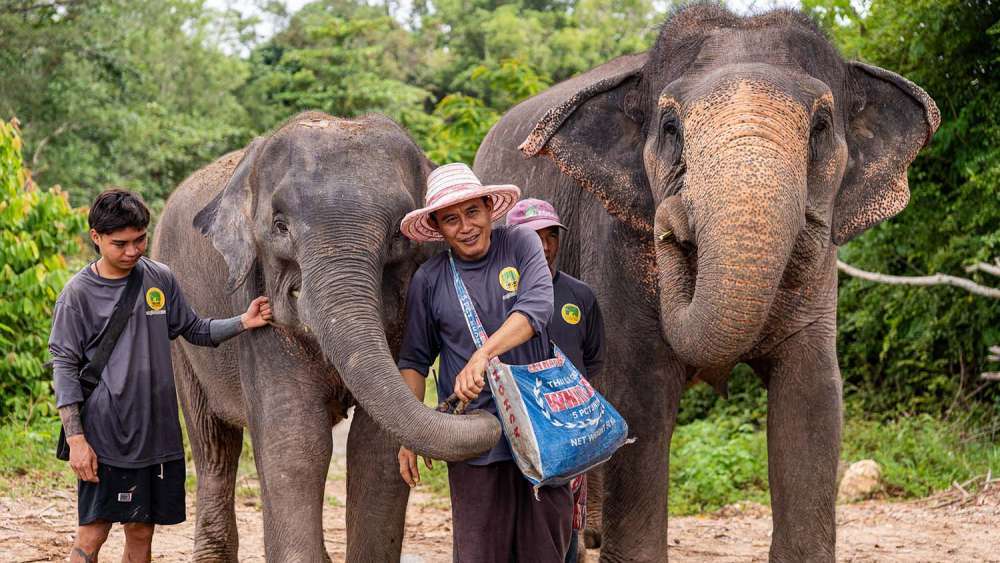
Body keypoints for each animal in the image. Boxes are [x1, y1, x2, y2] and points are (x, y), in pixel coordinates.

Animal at [149, 112, 500, 560]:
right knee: (213, 445)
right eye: (280, 226)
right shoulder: (256, 301)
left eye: (398, 236)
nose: (464, 404)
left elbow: (376, 446)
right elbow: (296, 441)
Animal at [474, 5, 936, 563]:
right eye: (671, 128)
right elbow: (639, 394)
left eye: (821, 127)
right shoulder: (616, 243)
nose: (673, 221)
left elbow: (812, 397)